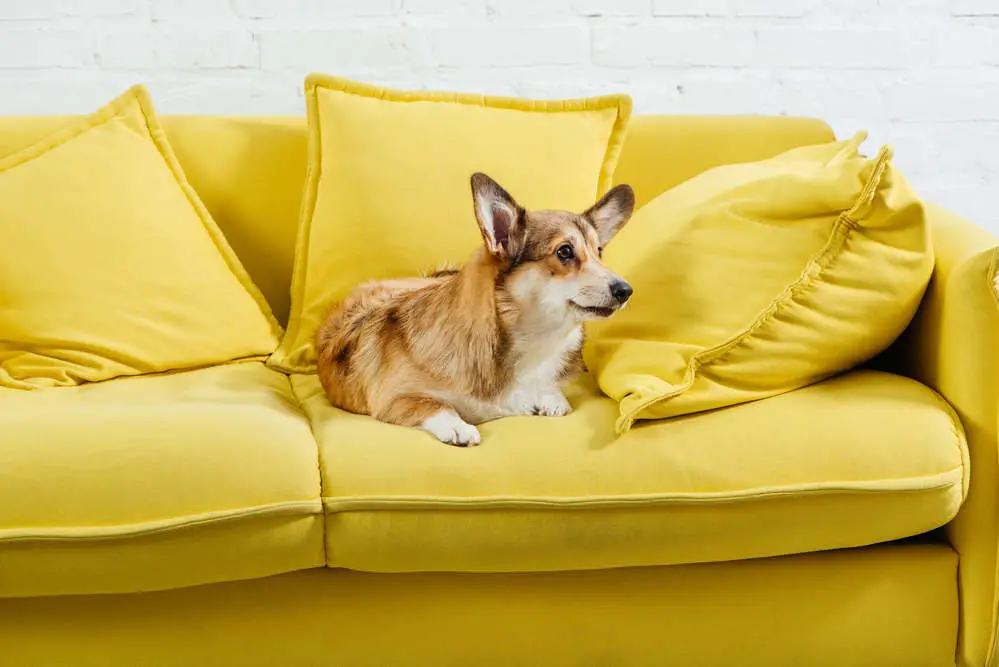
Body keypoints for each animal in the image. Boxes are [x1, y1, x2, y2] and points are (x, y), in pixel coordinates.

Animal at [316, 174, 636, 448]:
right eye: (565, 252)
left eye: (599, 252)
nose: (625, 291)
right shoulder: (394, 399)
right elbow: (434, 403)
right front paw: (458, 427)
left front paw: (551, 398)